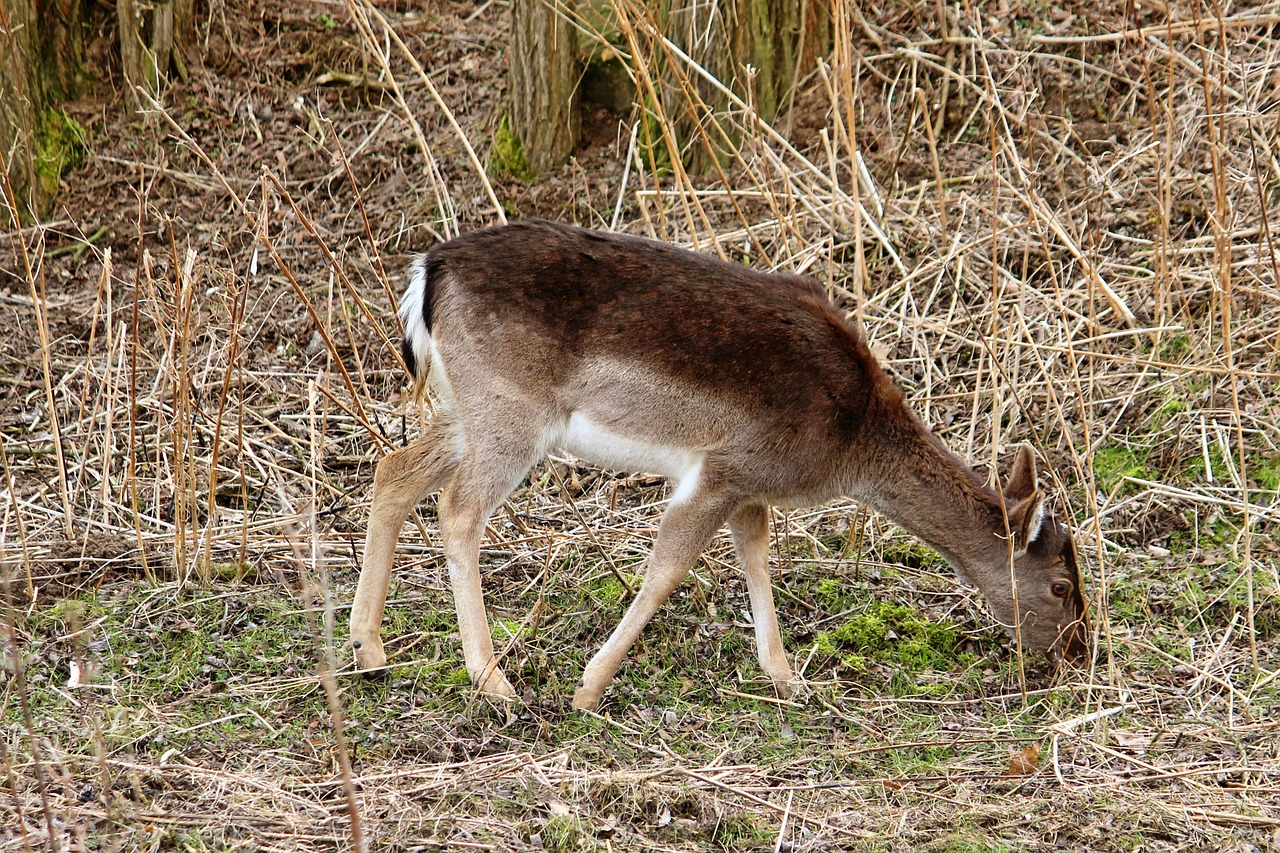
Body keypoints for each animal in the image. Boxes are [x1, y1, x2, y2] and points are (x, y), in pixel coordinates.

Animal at [353, 220, 1090, 712]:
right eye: (1059, 585)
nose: (1077, 653)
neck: (848, 444)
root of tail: (427, 273)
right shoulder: (726, 468)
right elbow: (668, 567)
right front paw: (589, 688)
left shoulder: (753, 485)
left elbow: (757, 557)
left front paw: (788, 676)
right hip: (511, 410)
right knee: (457, 509)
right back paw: (493, 681)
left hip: (463, 407)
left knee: (393, 472)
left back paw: (370, 650)